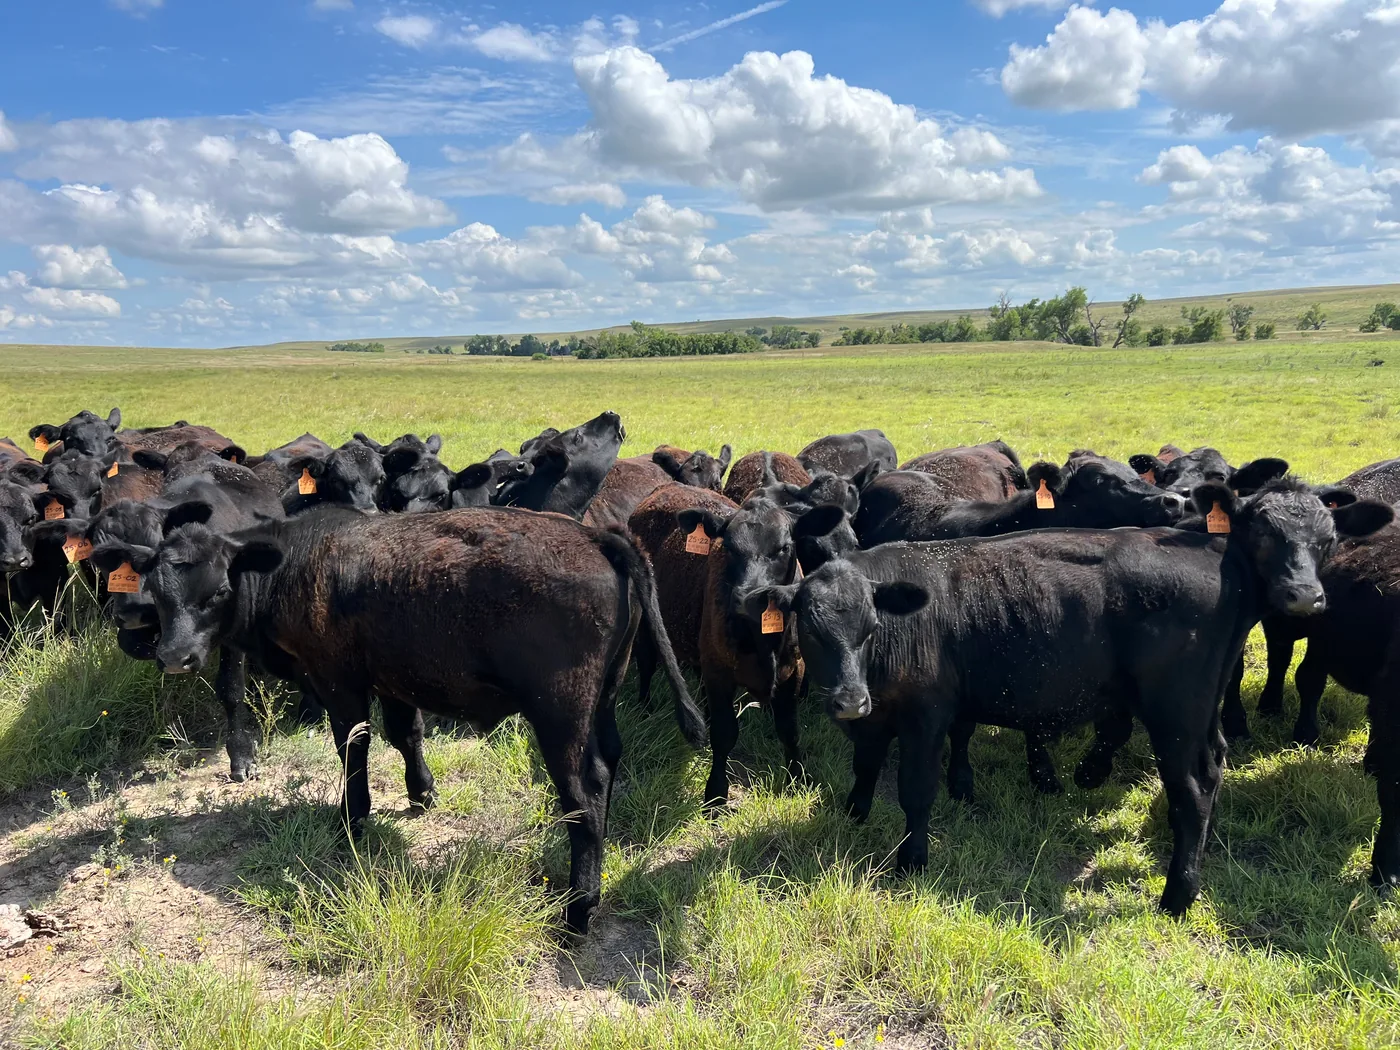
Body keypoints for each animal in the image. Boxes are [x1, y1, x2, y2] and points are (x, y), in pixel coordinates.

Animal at [110, 504, 706, 935]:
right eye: (158, 593)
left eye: (217, 591)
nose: (174, 657)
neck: (296, 562)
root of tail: (597, 536)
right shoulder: (395, 678)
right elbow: (406, 734)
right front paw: (422, 792)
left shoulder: (340, 683)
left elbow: (354, 748)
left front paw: (354, 818)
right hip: (602, 702)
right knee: (610, 764)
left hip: (559, 716)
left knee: (584, 792)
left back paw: (579, 908)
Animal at [756, 479, 1392, 916]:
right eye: (810, 630)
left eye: (869, 627)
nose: (846, 700)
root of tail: (1213, 550)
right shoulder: (875, 716)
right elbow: (865, 766)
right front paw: (855, 813)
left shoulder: (927, 715)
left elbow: (916, 792)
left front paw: (911, 861)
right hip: (1201, 710)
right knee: (1214, 768)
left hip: (1175, 714)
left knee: (1194, 788)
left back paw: (1178, 894)